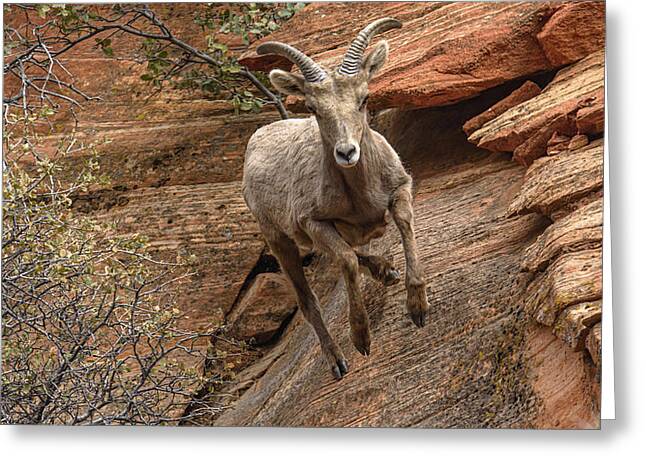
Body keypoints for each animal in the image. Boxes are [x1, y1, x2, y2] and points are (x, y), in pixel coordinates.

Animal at [242, 18, 429, 379]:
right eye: (313, 108)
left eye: (364, 98)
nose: (346, 153)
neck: (361, 196)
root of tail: (255, 140)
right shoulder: (314, 223)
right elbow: (346, 261)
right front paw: (362, 339)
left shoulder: (400, 189)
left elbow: (403, 225)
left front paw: (417, 308)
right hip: (279, 240)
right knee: (309, 300)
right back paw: (338, 362)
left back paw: (386, 271)